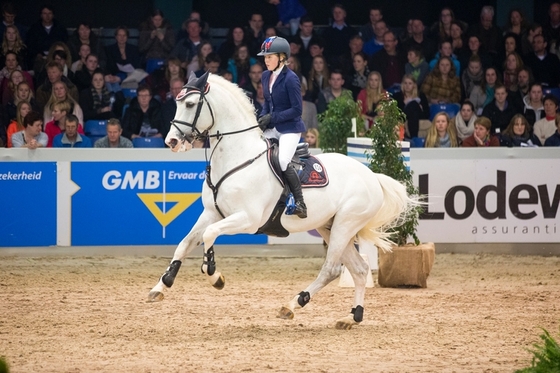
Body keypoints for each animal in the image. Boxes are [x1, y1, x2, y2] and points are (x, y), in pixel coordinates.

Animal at [148, 70, 416, 328]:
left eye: (190, 104)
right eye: (176, 102)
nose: (171, 141)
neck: (237, 157)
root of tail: (372, 176)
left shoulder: (248, 220)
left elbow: (209, 235)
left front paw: (214, 275)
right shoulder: (212, 213)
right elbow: (185, 243)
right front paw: (162, 285)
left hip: (345, 225)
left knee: (331, 269)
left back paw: (293, 304)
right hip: (330, 227)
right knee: (359, 269)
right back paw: (352, 317)